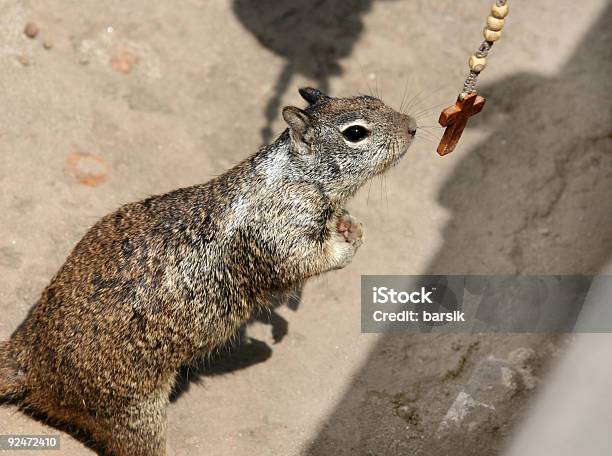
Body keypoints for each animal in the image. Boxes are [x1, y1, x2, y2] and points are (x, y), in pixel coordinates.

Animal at [0, 87, 416, 454]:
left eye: (373, 98)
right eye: (355, 133)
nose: (412, 126)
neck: (293, 176)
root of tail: (29, 360)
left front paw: (350, 225)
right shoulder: (281, 236)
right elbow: (304, 261)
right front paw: (346, 245)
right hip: (132, 415)